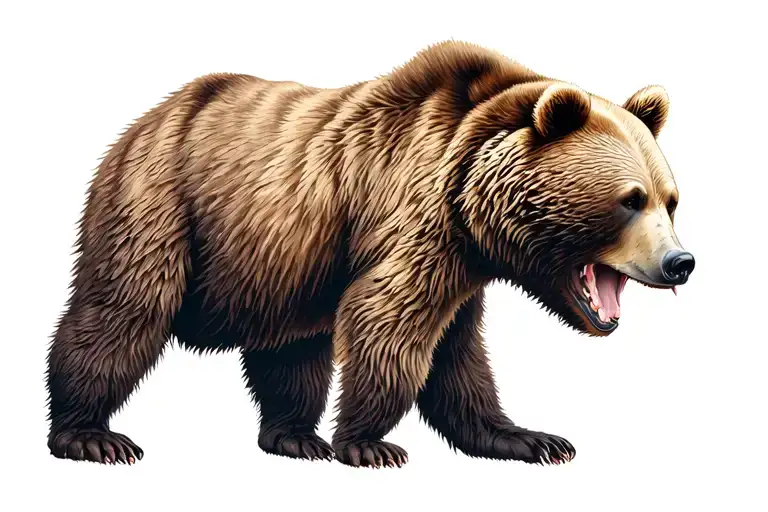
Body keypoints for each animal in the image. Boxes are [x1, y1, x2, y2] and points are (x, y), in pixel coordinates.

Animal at [46, 40, 695, 468]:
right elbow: (387, 321)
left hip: (285, 259)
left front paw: (532, 438)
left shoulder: (462, 264)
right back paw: (90, 435)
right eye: (629, 200)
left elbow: (457, 356)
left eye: (671, 200)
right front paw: (369, 443)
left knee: (291, 350)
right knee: (125, 310)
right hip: (162, 200)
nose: (679, 263)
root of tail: (153, 114)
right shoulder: (416, 216)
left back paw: (293, 436)